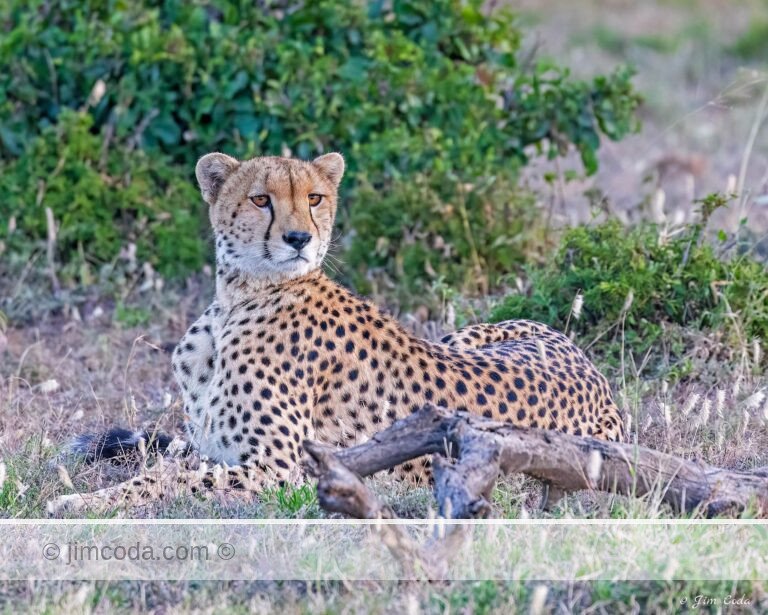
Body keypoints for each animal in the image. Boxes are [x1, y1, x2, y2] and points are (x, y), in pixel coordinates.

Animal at [48, 151, 624, 515]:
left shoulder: (282, 471)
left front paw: (79, 502)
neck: (240, 296)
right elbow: (169, 466)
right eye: (261, 199)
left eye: (316, 198)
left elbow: (169, 481)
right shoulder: (215, 448)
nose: (298, 238)